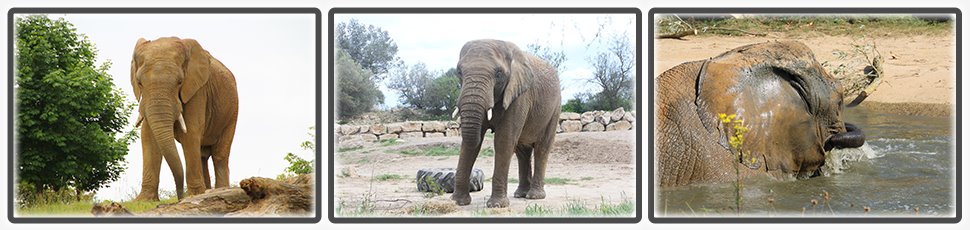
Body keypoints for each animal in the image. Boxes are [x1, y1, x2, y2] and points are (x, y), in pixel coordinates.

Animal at [130, 36, 239, 200]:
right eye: (139, 83)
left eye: (180, 82)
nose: (180, 196)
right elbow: (148, 136)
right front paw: (144, 200)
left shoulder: (197, 91)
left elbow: (191, 133)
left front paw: (194, 196)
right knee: (202, 155)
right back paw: (208, 190)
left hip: (232, 112)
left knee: (219, 155)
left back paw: (220, 190)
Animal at [448, 38, 560, 208]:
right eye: (459, 72)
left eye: (499, 74)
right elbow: (470, 144)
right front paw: (458, 202)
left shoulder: (519, 96)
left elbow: (504, 141)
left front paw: (496, 205)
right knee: (522, 151)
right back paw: (520, 194)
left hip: (555, 109)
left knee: (542, 148)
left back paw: (534, 196)